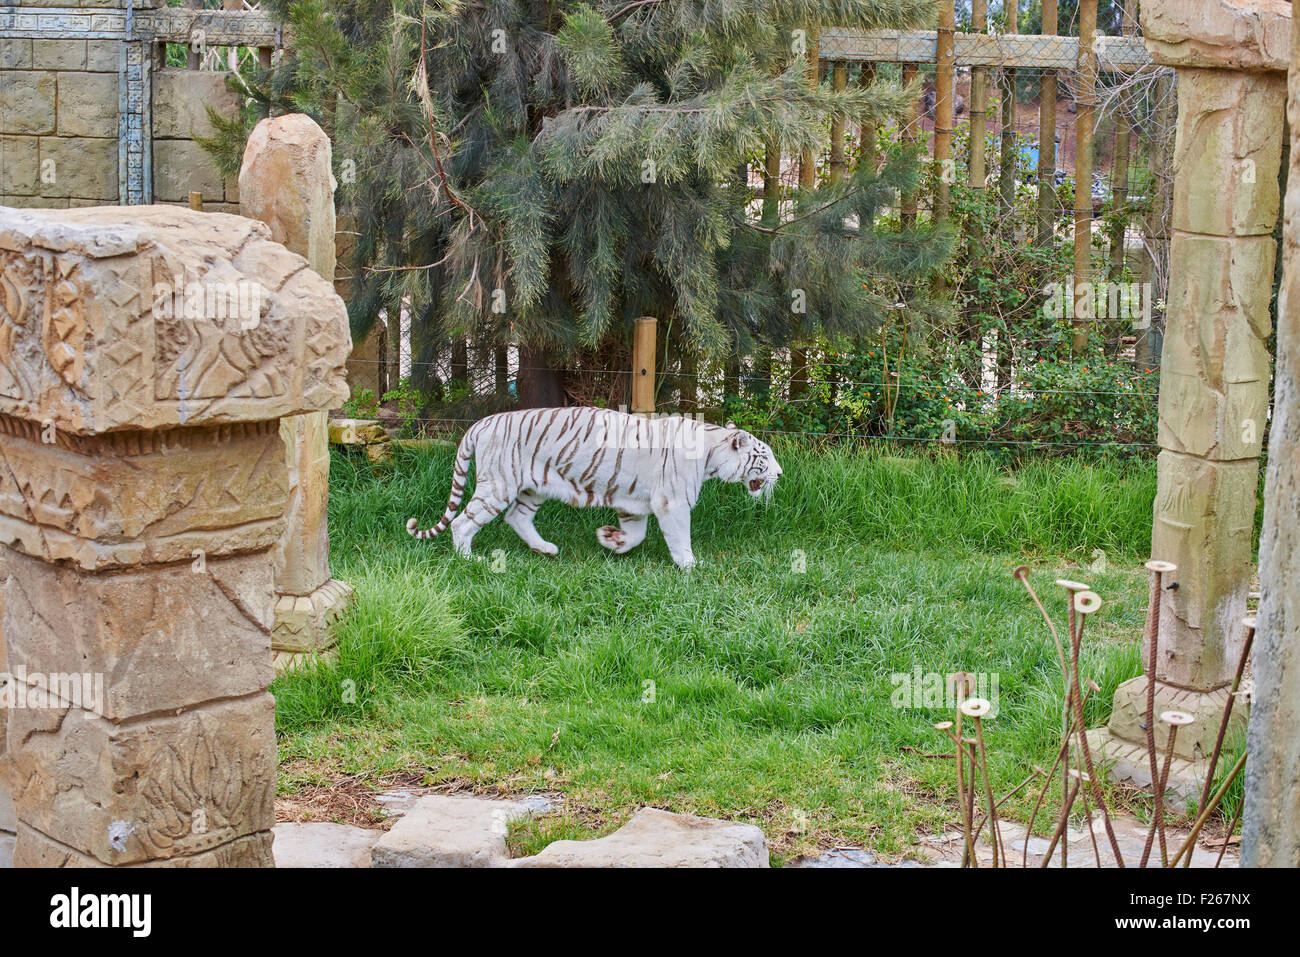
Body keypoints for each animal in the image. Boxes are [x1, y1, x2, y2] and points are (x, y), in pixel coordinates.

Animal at [403, 405, 780, 566]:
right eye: (765, 456)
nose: (780, 474)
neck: (711, 452)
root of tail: (480, 423)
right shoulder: (672, 503)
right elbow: (679, 538)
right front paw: (690, 565)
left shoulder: (633, 503)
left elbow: (636, 534)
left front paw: (610, 540)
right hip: (498, 485)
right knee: (463, 522)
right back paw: (471, 559)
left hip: (533, 487)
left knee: (517, 517)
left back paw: (545, 549)